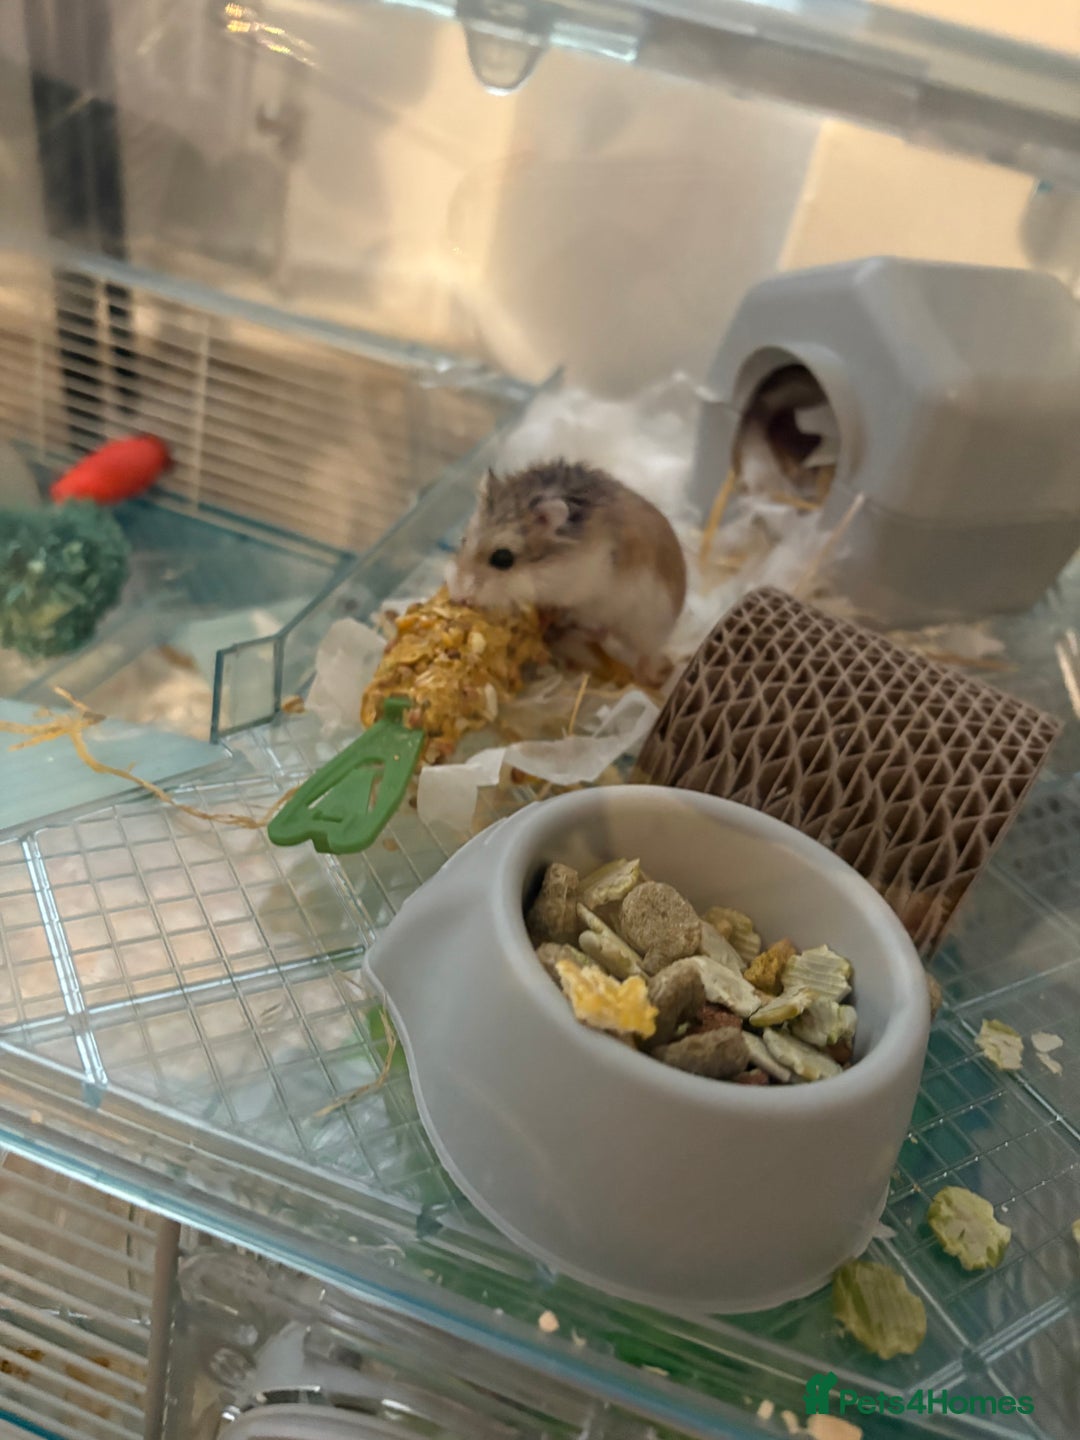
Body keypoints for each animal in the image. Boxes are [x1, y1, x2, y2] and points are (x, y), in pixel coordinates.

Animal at [446, 459, 687, 682]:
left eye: (503, 558)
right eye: (463, 540)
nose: (458, 598)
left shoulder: (579, 587)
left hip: (644, 625)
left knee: (644, 654)